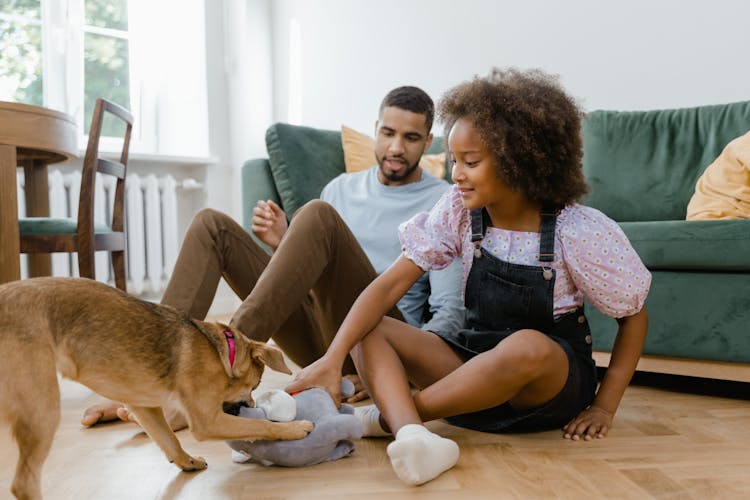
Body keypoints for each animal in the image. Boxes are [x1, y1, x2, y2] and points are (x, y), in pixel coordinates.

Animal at [0, 278, 312, 500]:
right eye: (255, 385)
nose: (247, 407)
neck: (223, 351)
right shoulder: (207, 421)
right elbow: (263, 426)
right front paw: (294, 428)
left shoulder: (144, 407)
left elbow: (168, 439)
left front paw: (187, 461)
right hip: (42, 410)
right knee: (24, 483)